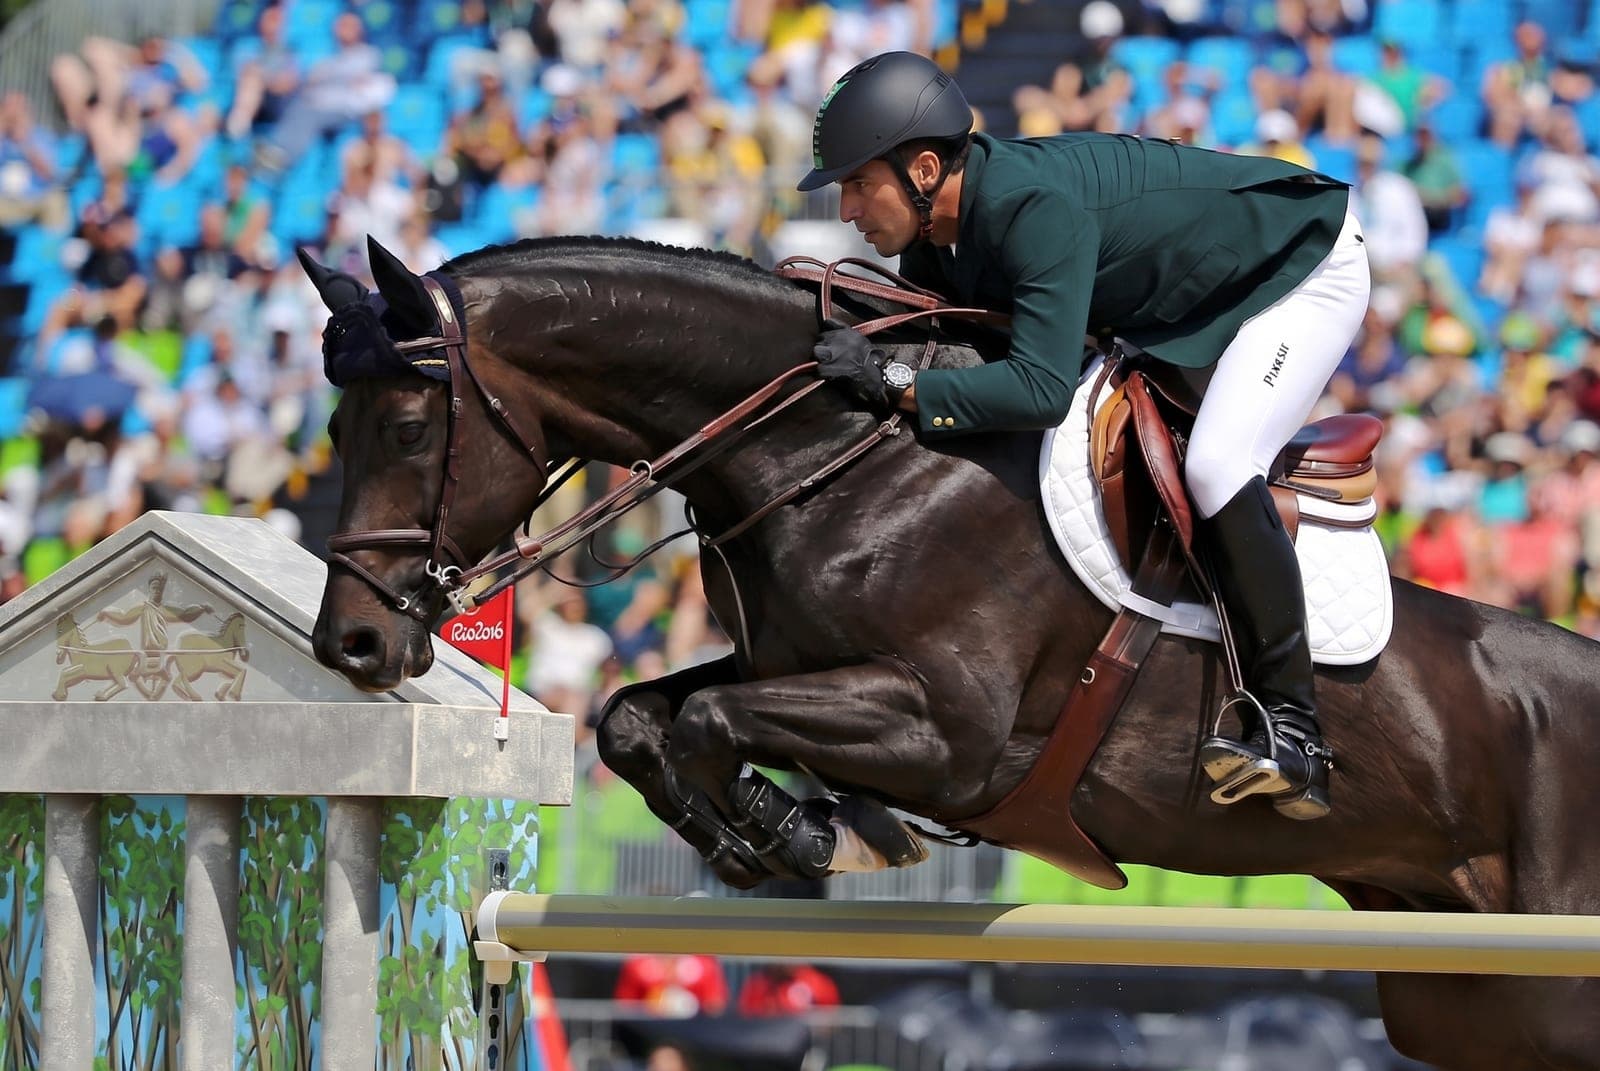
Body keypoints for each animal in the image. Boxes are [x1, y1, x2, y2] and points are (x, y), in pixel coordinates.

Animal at [305, 234, 1600, 1070]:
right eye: (333, 425)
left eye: (410, 426)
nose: (353, 642)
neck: (838, 447)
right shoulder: (796, 665)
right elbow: (639, 716)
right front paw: (776, 831)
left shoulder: (948, 732)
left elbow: (711, 721)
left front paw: (798, 831)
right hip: (1471, 1005)